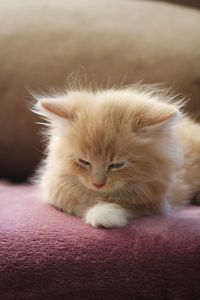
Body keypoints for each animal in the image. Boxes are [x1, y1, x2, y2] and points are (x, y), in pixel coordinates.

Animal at [33, 88, 200, 229]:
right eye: (84, 162)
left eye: (117, 165)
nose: (97, 184)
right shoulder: (57, 191)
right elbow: (77, 203)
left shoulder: (154, 200)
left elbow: (126, 206)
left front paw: (104, 215)